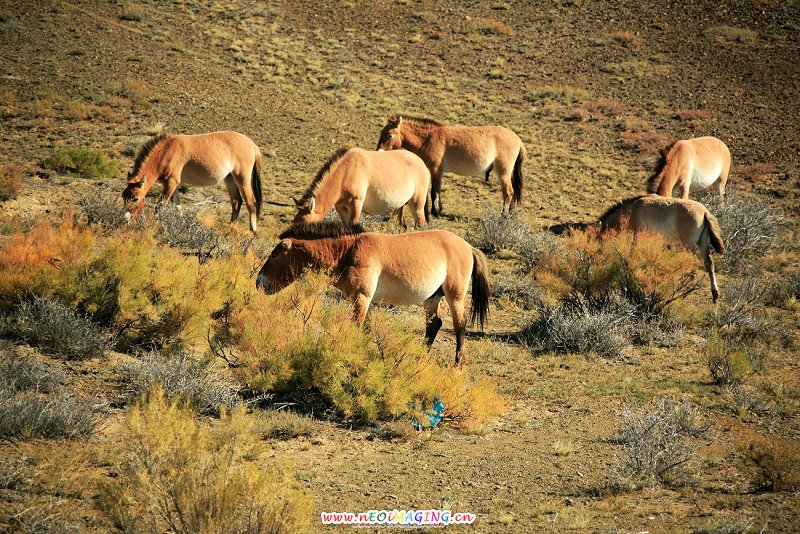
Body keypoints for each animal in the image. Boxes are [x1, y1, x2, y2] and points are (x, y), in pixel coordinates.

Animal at [122, 131, 263, 233]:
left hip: (242, 178)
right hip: (229, 178)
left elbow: (159, 206)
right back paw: (232, 226)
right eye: (124, 196)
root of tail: (252, 145)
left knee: (250, 202)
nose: (125, 219)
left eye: (135, 198)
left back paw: (253, 230)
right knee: (236, 201)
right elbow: (178, 206)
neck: (166, 151)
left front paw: (154, 225)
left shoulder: (171, 183)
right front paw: (181, 224)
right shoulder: (174, 185)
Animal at [256, 222, 491, 366]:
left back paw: (457, 365)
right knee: (434, 324)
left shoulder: (362, 298)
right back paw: (421, 358)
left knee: (460, 326)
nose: (259, 283)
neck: (348, 252)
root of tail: (469, 247)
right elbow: (366, 330)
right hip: (433, 297)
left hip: (455, 296)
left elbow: (356, 328)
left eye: (274, 255)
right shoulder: (362, 300)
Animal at [293, 147, 431, 228]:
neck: (346, 171)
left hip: (417, 204)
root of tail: (423, 164)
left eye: (305, 225)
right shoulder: (342, 208)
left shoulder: (356, 204)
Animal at [376, 116, 526, 215]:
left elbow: (434, 191)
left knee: (508, 192)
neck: (429, 138)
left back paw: (503, 215)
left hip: (503, 172)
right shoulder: (438, 172)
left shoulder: (436, 170)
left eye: (389, 135)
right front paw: (439, 209)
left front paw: (435, 211)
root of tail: (518, 140)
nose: (378, 152)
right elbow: (438, 190)